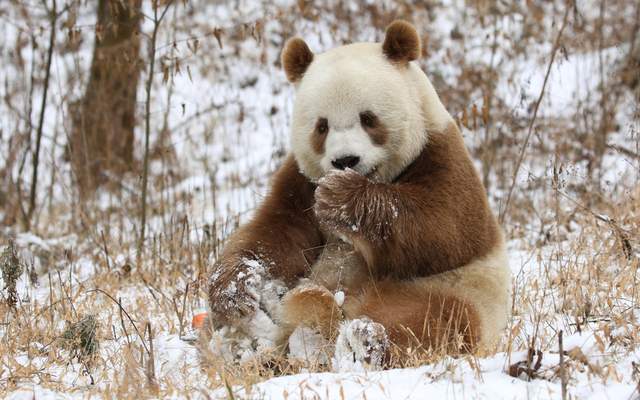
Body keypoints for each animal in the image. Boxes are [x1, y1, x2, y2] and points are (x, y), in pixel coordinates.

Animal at [208, 20, 512, 370]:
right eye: (321, 126)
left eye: (368, 118)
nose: (345, 160)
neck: (377, 178)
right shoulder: (299, 181)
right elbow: (275, 235)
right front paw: (238, 291)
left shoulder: (441, 153)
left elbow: (445, 227)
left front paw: (341, 199)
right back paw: (253, 348)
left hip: (452, 290)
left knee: (435, 320)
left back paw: (362, 340)